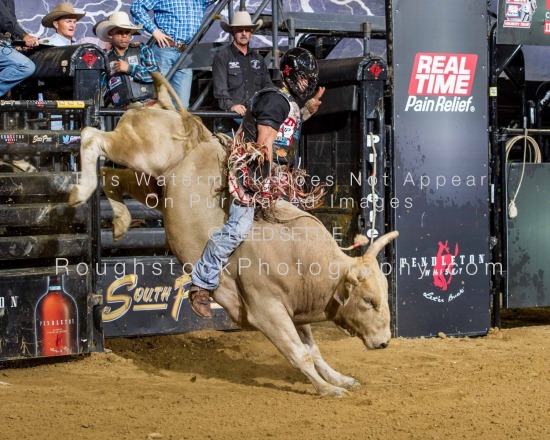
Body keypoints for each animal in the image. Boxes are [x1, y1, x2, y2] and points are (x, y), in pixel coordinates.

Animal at [69, 71, 398, 396]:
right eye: (369, 300)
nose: (385, 342)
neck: (306, 260)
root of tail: (177, 116)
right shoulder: (266, 309)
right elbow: (299, 353)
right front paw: (327, 389)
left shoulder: (294, 307)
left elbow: (313, 349)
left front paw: (340, 379)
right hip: (142, 150)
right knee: (92, 137)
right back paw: (79, 192)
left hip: (151, 185)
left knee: (112, 176)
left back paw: (120, 220)